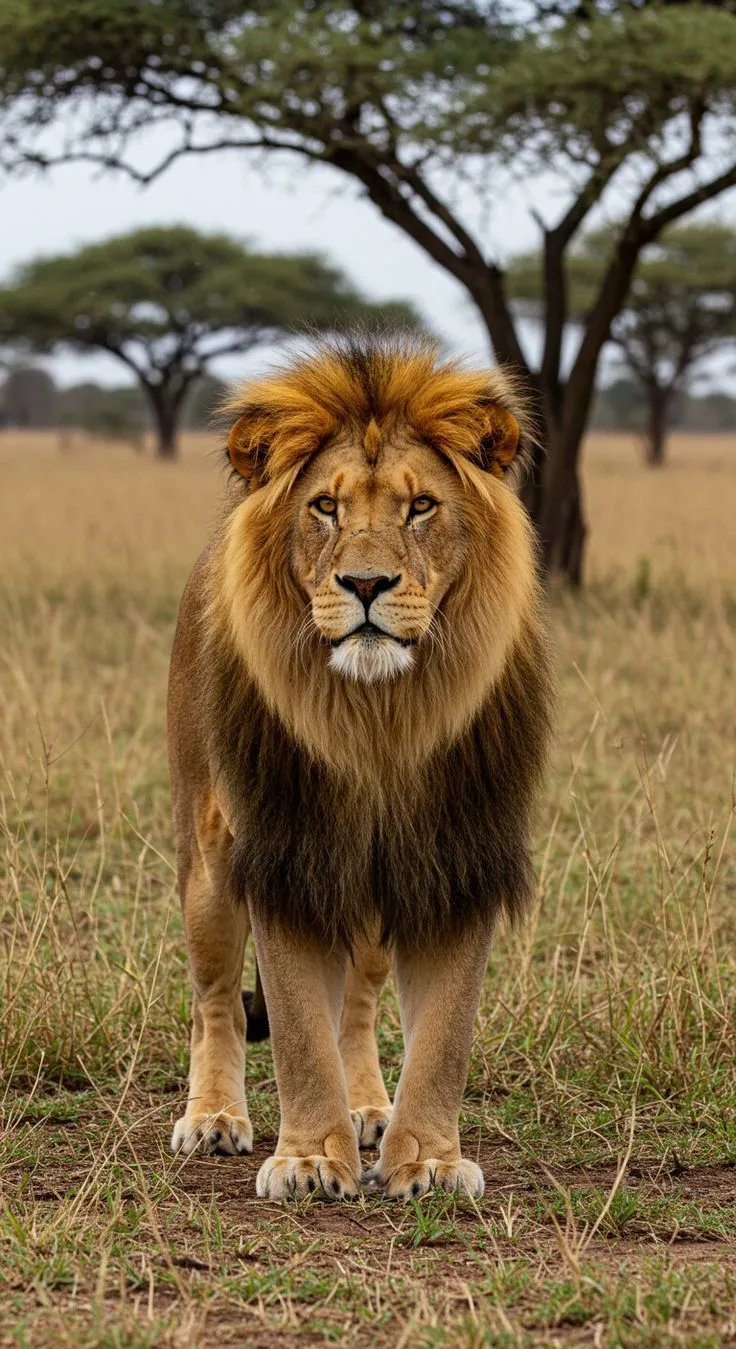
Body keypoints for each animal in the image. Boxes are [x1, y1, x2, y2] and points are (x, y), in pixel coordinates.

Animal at [168, 335, 552, 1201]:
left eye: (420, 507)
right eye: (325, 508)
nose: (367, 583)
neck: (379, 722)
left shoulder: (457, 856)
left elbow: (443, 1032)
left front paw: (428, 1160)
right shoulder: (282, 851)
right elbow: (296, 1030)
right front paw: (310, 1159)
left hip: (376, 885)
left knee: (359, 999)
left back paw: (369, 1105)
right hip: (209, 859)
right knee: (217, 998)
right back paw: (214, 1116)